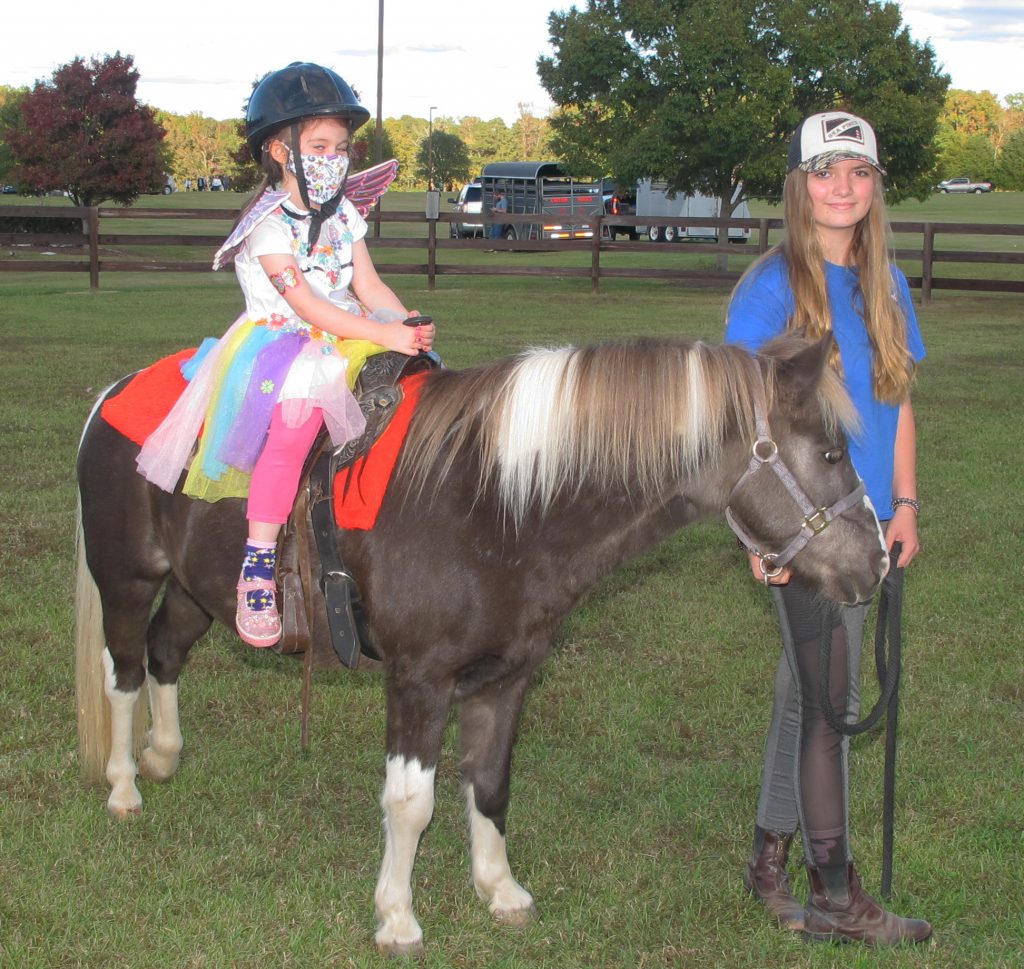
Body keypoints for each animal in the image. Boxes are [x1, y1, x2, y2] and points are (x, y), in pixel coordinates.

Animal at [75, 332, 888, 957]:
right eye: (829, 452)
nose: (878, 562)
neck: (492, 502)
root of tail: (114, 393)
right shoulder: (419, 679)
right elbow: (410, 802)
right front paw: (398, 918)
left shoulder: (507, 676)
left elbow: (490, 782)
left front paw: (499, 888)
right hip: (126, 579)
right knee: (123, 671)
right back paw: (123, 784)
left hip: (196, 590)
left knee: (165, 654)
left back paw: (163, 753)